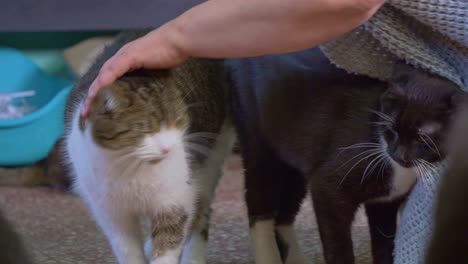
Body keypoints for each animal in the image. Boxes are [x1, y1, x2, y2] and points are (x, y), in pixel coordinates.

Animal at [64, 31, 236, 264]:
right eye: (145, 129)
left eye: (178, 121)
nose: (168, 148)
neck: (129, 168)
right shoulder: (111, 212)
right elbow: (126, 248)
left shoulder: (174, 201)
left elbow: (168, 243)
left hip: (211, 161)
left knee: (200, 215)